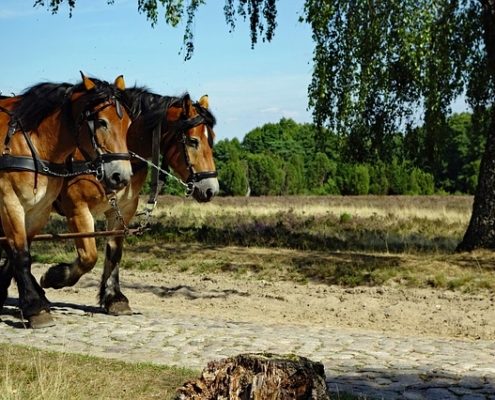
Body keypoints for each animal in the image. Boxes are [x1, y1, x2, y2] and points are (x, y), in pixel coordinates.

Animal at [0, 73, 133, 326]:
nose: (121, 176)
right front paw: (36, 307)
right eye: (102, 122)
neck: (33, 142)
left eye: (129, 124)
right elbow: (21, 254)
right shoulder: (10, 202)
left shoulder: (39, 210)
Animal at [41, 88, 220, 316]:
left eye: (211, 139)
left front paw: (114, 297)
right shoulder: (78, 210)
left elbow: (114, 252)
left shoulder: (123, 211)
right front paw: (54, 276)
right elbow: (89, 256)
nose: (211, 189)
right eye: (193, 141)